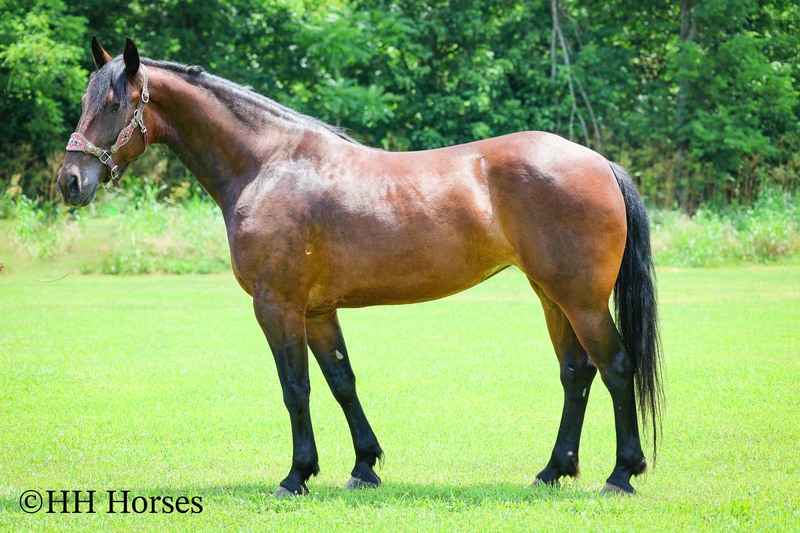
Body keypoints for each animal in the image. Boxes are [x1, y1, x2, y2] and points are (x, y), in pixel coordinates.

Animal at [58, 37, 663, 497]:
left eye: (113, 104)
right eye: (86, 99)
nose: (70, 182)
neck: (268, 164)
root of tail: (598, 162)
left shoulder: (277, 305)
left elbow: (296, 388)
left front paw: (296, 476)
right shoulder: (318, 311)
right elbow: (341, 381)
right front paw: (363, 466)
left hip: (581, 299)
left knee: (615, 367)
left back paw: (621, 475)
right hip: (550, 294)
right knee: (576, 372)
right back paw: (552, 471)